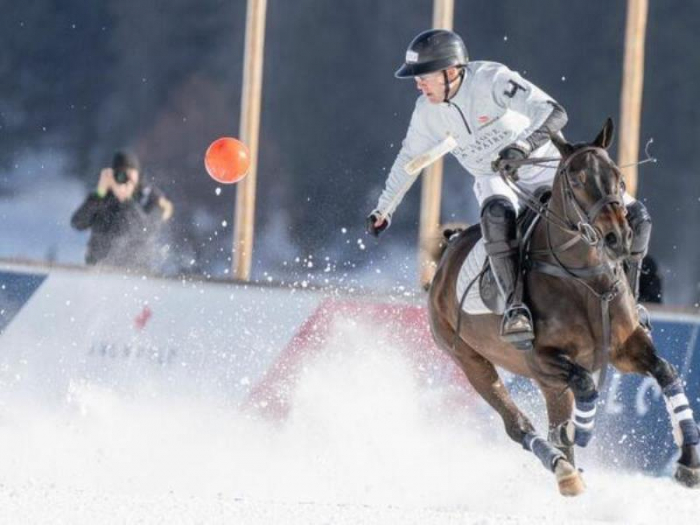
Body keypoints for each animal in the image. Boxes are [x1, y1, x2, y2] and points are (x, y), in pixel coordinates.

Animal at [426, 119, 700, 496]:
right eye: (577, 180)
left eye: (618, 175)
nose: (617, 238)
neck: (585, 278)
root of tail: (446, 257)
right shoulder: (541, 358)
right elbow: (585, 387)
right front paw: (575, 432)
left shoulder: (623, 347)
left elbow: (666, 371)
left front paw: (688, 460)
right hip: (469, 359)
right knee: (518, 424)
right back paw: (563, 469)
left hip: (540, 378)